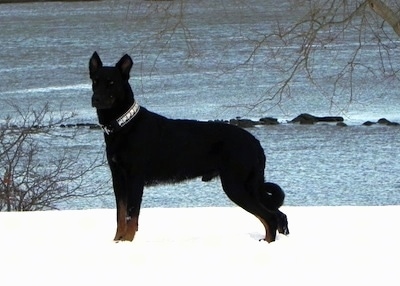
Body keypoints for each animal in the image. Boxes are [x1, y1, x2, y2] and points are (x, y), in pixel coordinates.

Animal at [89, 52, 290, 242]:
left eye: (111, 82)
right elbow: (120, 216)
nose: (95, 99)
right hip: (249, 186)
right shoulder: (118, 179)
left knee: (270, 217)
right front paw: (117, 241)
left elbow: (132, 216)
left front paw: (127, 242)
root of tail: (255, 143)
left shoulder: (135, 179)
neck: (124, 126)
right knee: (278, 215)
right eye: (95, 81)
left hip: (236, 185)